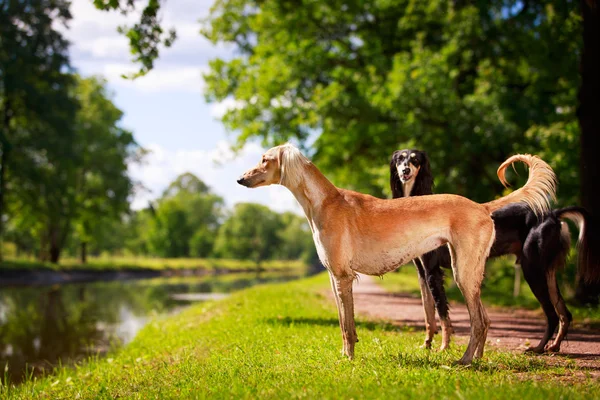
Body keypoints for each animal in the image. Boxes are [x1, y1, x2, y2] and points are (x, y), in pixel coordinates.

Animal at [237, 145, 556, 366]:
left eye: (265, 159)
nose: (240, 179)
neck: (325, 201)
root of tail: (480, 206)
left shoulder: (342, 277)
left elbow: (347, 326)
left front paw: (349, 358)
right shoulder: (332, 276)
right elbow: (342, 322)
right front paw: (344, 355)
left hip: (463, 273)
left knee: (478, 322)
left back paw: (464, 361)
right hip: (468, 272)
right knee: (485, 320)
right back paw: (475, 359)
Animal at [390, 149, 600, 354]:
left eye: (415, 160)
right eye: (400, 159)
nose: (405, 171)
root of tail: (553, 214)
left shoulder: (433, 271)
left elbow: (441, 313)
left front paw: (443, 347)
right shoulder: (422, 272)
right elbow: (428, 312)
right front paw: (426, 344)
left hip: (532, 269)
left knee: (552, 314)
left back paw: (538, 348)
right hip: (546, 271)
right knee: (565, 313)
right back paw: (554, 346)